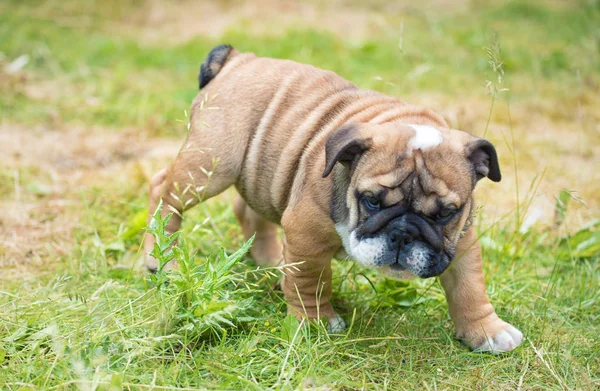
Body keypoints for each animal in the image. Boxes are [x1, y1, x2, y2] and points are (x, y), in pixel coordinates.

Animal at [144, 44, 520, 354]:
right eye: (371, 201)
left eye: (444, 214)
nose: (403, 234)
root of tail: (239, 59)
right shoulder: (305, 235)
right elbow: (309, 282)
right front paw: (316, 322)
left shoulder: (461, 242)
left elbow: (469, 287)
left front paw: (487, 330)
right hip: (212, 163)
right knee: (163, 192)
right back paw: (160, 259)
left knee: (248, 210)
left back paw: (269, 261)